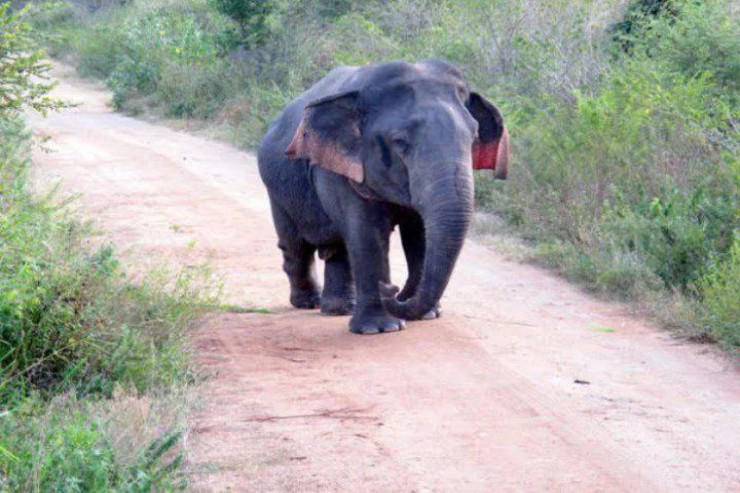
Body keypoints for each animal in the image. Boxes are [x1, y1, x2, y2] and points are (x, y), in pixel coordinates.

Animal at [256, 58, 508, 334]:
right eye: (400, 142)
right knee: (296, 245)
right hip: (277, 189)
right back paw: (310, 302)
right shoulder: (340, 169)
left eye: (473, 138)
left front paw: (427, 315)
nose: (394, 290)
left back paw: (339, 308)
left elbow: (418, 233)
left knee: (337, 248)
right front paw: (379, 329)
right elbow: (367, 231)